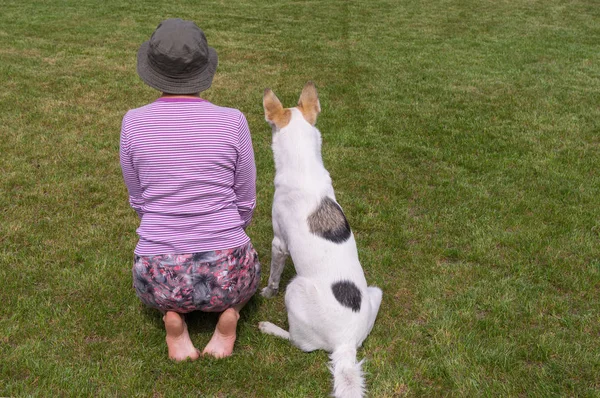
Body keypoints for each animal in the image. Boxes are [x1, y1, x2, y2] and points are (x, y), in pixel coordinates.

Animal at [258, 81, 384, 398]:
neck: (304, 166)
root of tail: (346, 345)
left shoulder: (279, 243)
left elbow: (273, 277)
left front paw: (266, 293)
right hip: (375, 292)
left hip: (295, 289)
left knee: (299, 343)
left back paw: (270, 327)